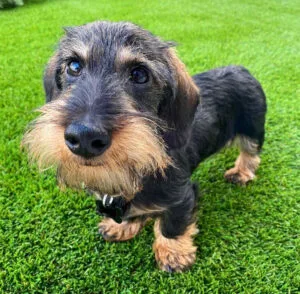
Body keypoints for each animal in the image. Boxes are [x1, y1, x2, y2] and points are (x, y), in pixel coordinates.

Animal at [23, 20, 268, 274]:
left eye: (140, 74)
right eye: (73, 66)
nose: (84, 138)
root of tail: (242, 70)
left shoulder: (181, 195)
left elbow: (173, 224)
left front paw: (174, 253)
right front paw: (122, 226)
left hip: (252, 131)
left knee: (251, 154)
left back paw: (241, 172)